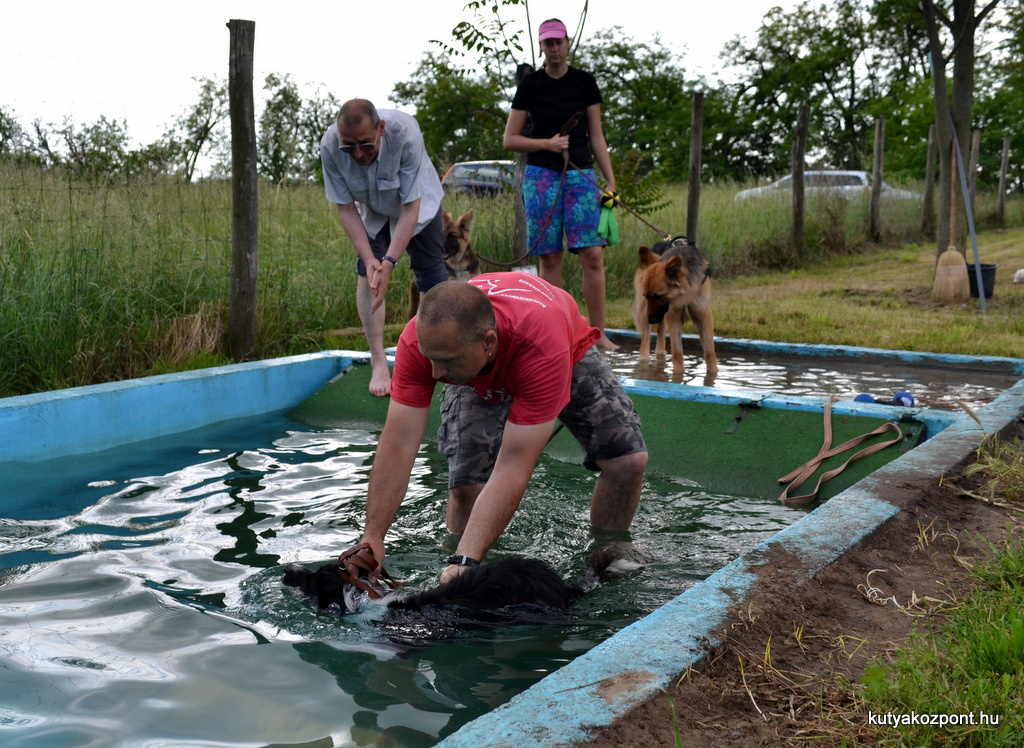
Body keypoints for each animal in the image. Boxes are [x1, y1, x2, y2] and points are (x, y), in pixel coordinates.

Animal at [630, 235, 720, 381]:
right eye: (646, 296)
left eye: (658, 296)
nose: (650, 320)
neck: (686, 291)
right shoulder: (673, 316)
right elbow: (677, 353)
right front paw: (677, 377)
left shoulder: (703, 314)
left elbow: (710, 352)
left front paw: (713, 375)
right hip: (650, 313)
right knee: (646, 338)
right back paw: (644, 361)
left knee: (660, 333)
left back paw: (660, 353)